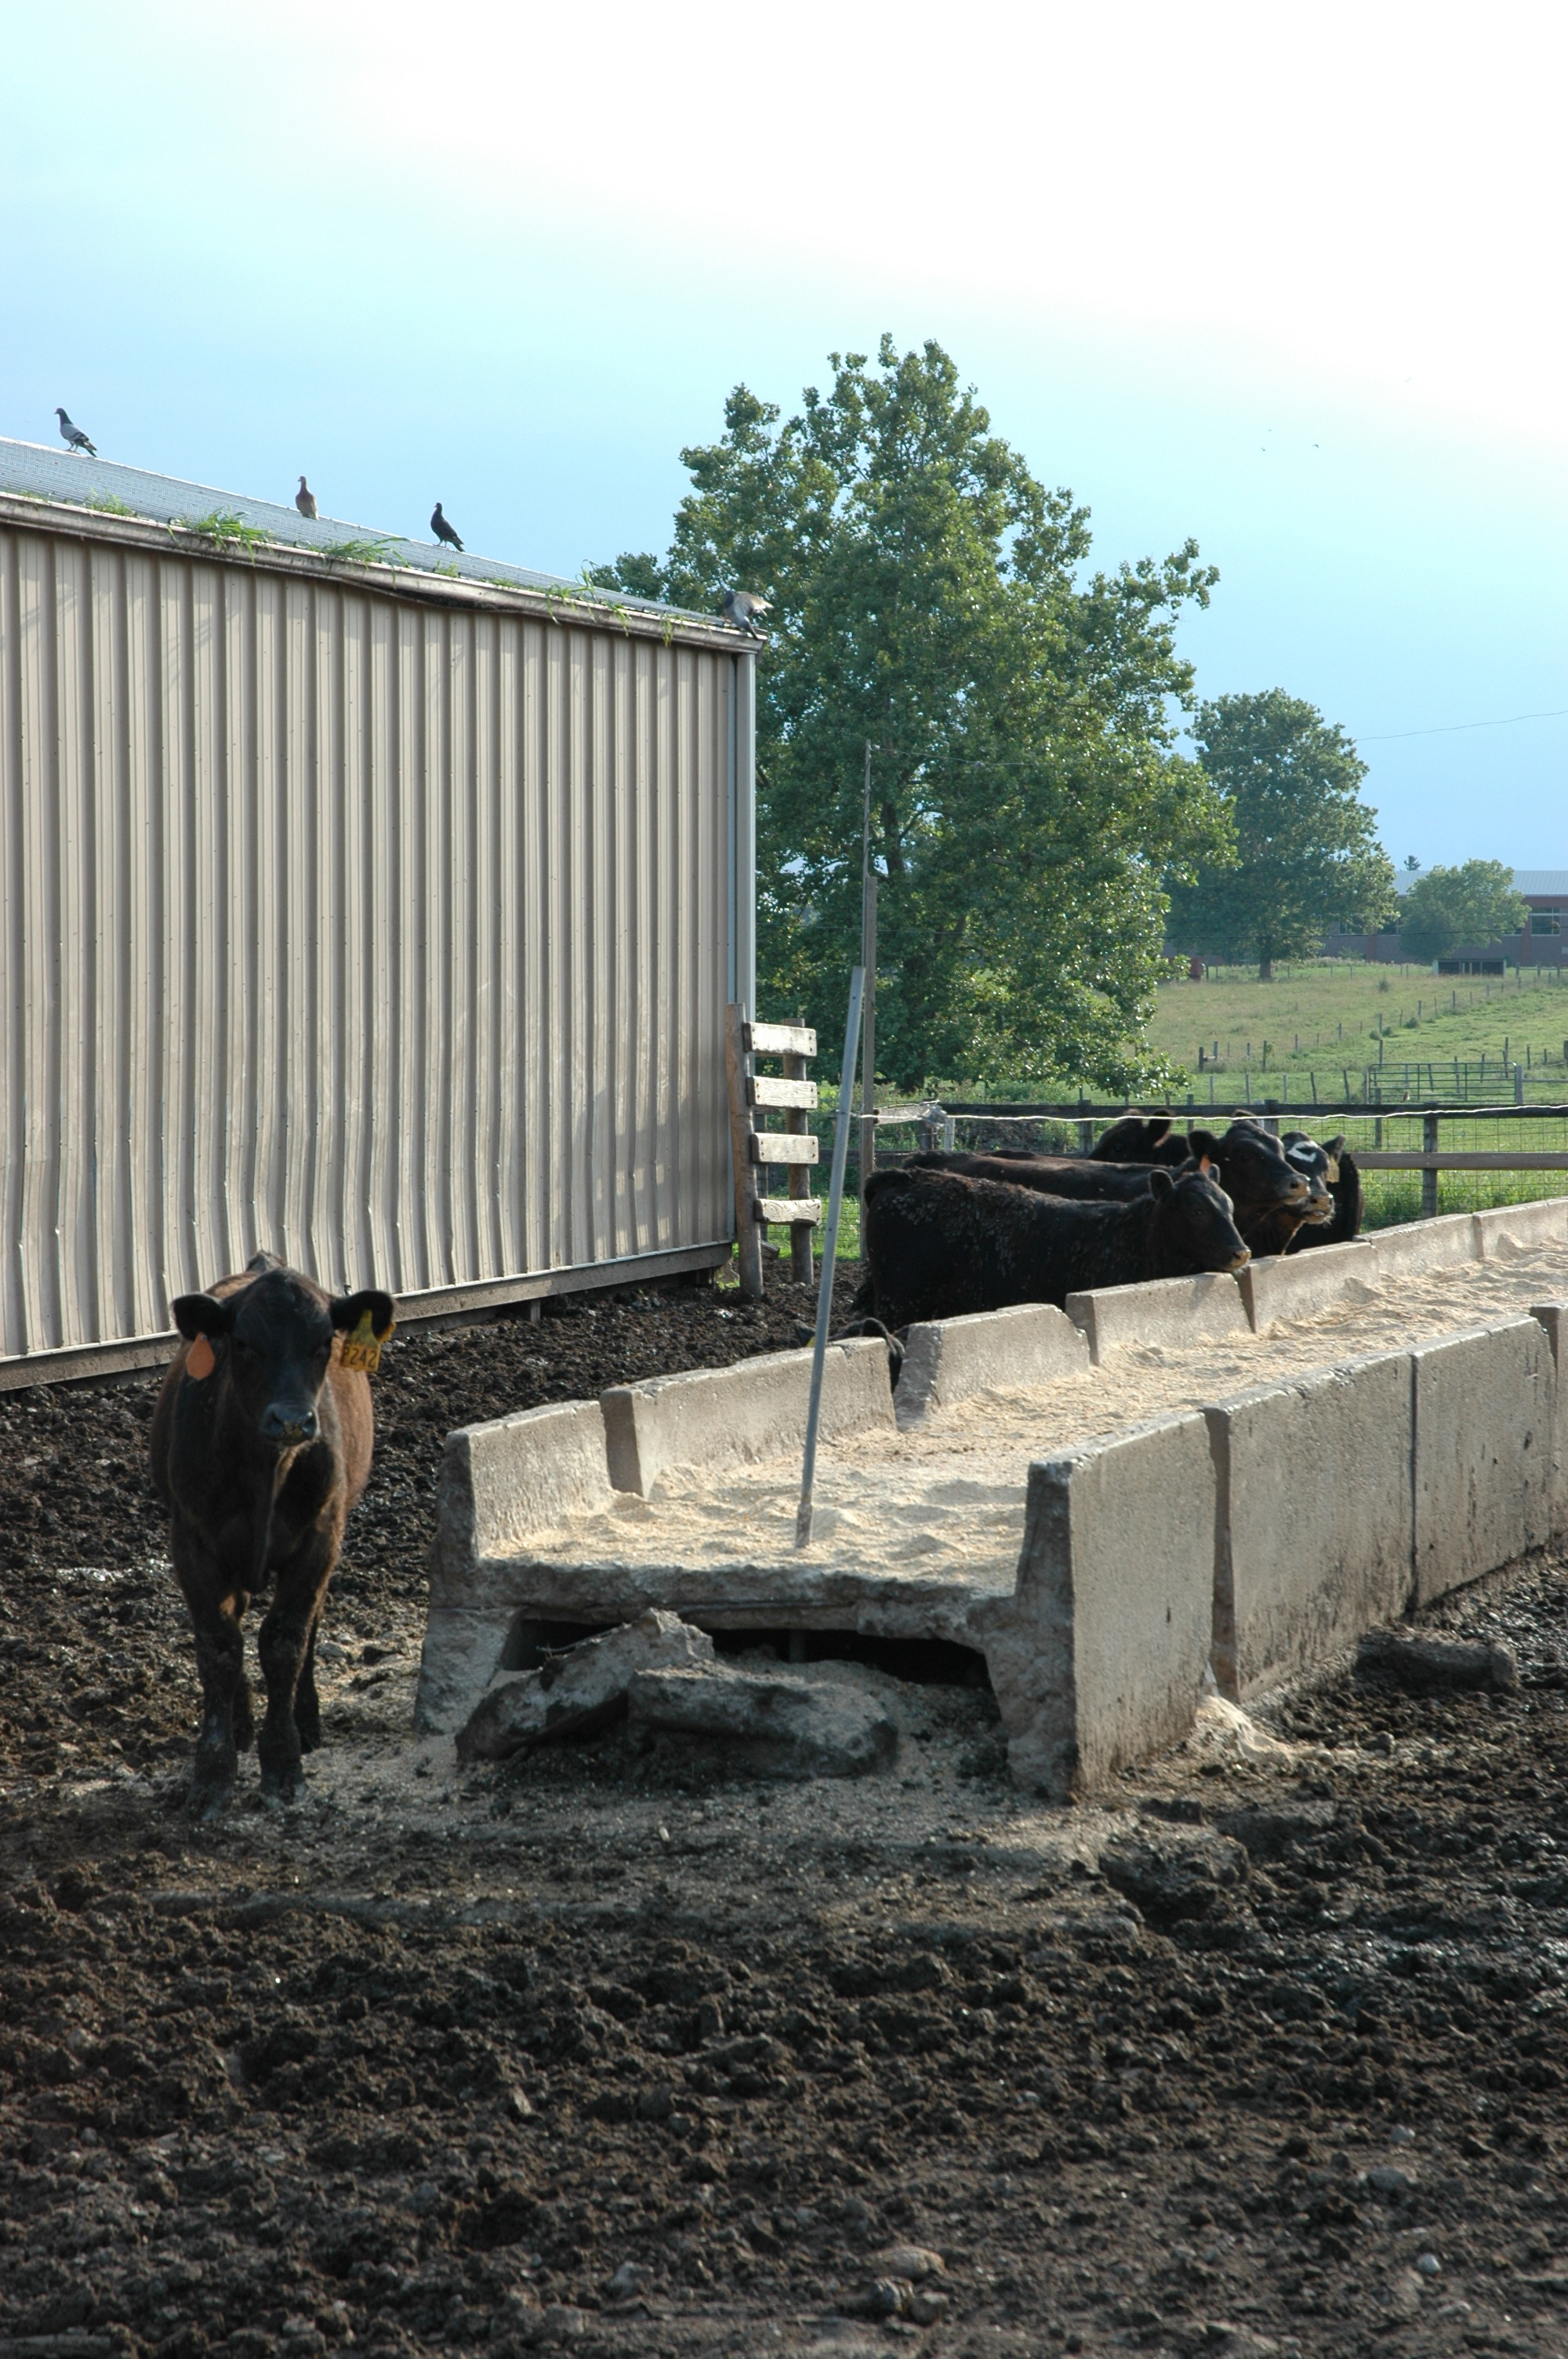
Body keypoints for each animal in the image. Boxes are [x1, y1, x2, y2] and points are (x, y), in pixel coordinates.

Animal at [149, 1253, 395, 1810]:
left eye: (324, 1342)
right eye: (242, 1342)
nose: (292, 1421)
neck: (267, 1470)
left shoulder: (319, 1540)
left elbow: (285, 1641)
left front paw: (284, 1762)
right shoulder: (193, 1543)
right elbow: (219, 1646)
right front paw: (214, 1772)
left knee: (310, 1626)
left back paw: (307, 1721)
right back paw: (241, 1726)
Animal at [860, 1163, 1249, 1330]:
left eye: (1230, 1204)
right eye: (1197, 1210)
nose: (1242, 1252)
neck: (1135, 1237)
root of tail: (905, 1177)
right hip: (900, 1302)